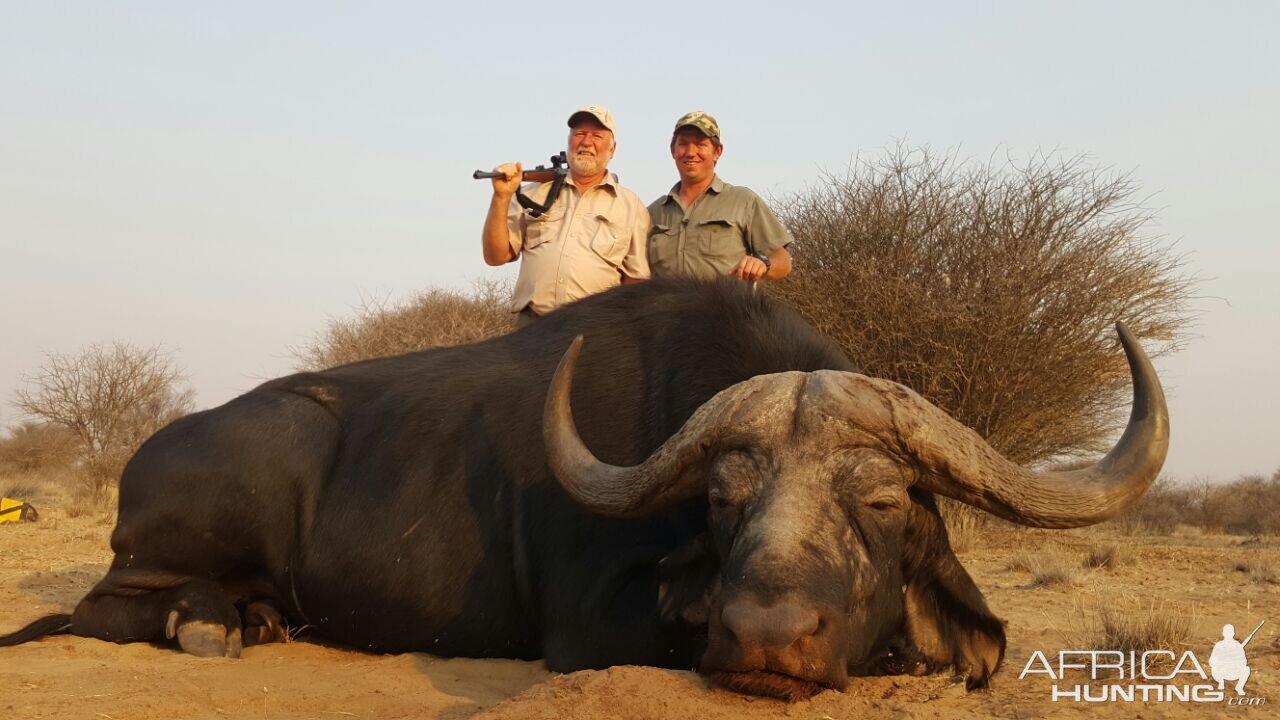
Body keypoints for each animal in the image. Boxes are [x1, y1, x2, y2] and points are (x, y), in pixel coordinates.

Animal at [0, 278, 1167, 696]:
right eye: (723, 498)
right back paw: (209, 623)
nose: (765, 638)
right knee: (106, 606)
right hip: (176, 539)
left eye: (881, 502)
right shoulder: (594, 629)